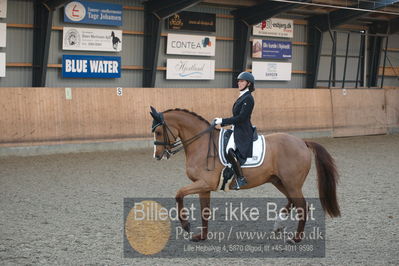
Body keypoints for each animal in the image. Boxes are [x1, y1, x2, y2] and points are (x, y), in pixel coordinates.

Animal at [150, 106, 340, 243]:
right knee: (293, 202)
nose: (157, 156)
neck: (201, 144)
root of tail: (302, 141)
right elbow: (205, 211)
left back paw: (296, 239)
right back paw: (278, 226)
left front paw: (186, 225)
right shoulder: (203, 187)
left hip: (292, 184)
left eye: (158, 132)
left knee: (302, 207)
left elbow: (179, 194)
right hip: (279, 181)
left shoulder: (204, 183)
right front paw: (201, 237)